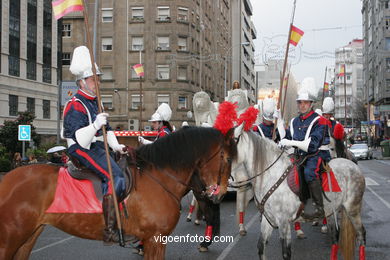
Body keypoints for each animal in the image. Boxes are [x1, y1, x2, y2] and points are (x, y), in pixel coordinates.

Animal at [0, 125, 238, 258]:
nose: (220, 194)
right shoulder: (155, 239)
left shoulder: (154, 240)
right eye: (227, 158)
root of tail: (7, 179)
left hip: (28, 237)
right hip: (10, 239)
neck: (159, 177)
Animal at [233, 124, 368, 260]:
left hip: (352, 209)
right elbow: (261, 247)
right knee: (335, 236)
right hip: (331, 210)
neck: (272, 174)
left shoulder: (284, 222)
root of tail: (353, 165)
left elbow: (286, 253)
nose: (232, 179)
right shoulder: (268, 219)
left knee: (361, 234)